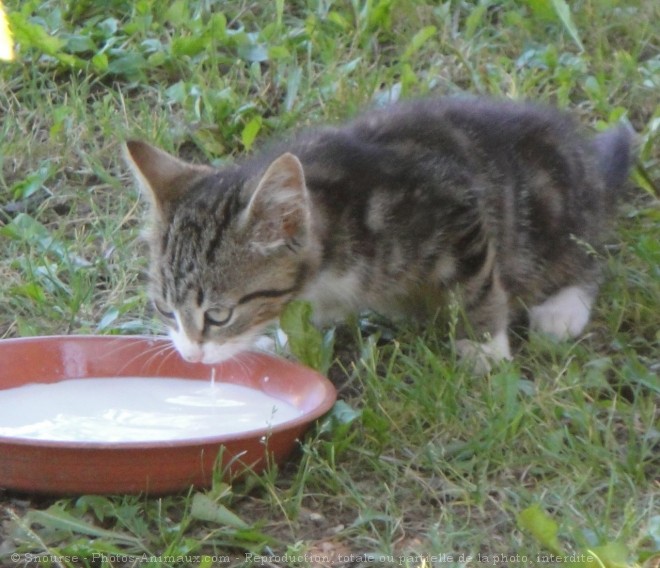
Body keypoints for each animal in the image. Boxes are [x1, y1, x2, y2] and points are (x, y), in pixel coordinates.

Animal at [124, 98, 636, 370]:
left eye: (218, 315)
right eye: (165, 310)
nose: (191, 357)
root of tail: (588, 168)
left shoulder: (456, 205)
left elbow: (477, 286)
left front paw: (485, 349)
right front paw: (275, 343)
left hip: (552, 222)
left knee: (591, 256)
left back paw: (563, 307)